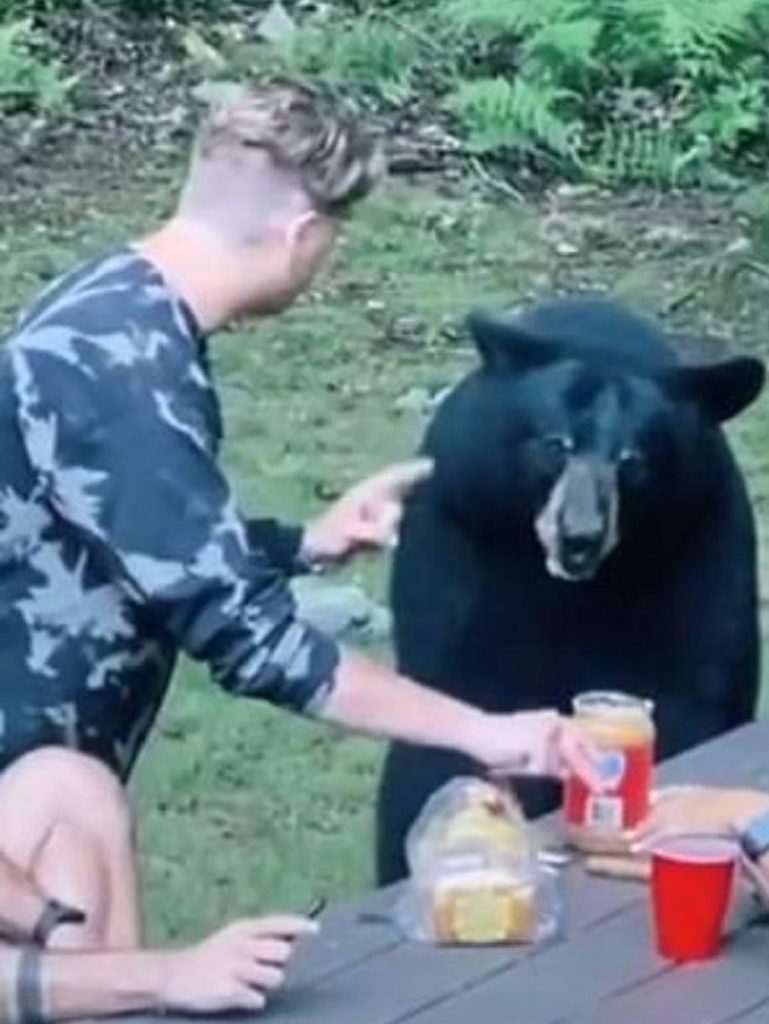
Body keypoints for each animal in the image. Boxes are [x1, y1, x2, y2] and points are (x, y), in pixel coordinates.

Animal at [376, 294, 766, 885]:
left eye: (633, 461)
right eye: (554, 444)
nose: (579, 537)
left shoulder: (700, 541)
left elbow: (695, 689)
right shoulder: (461, 535)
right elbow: (462, 698)